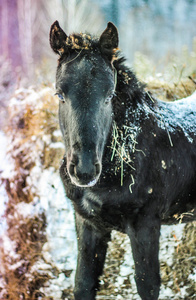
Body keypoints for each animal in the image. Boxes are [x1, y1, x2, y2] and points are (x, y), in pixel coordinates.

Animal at [49, 21, 196, 300]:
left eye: (109, 95)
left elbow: (147, 285)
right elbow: (84, 283)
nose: (84, 171)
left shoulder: (145, 224)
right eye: (60, 95)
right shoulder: (88, 224)